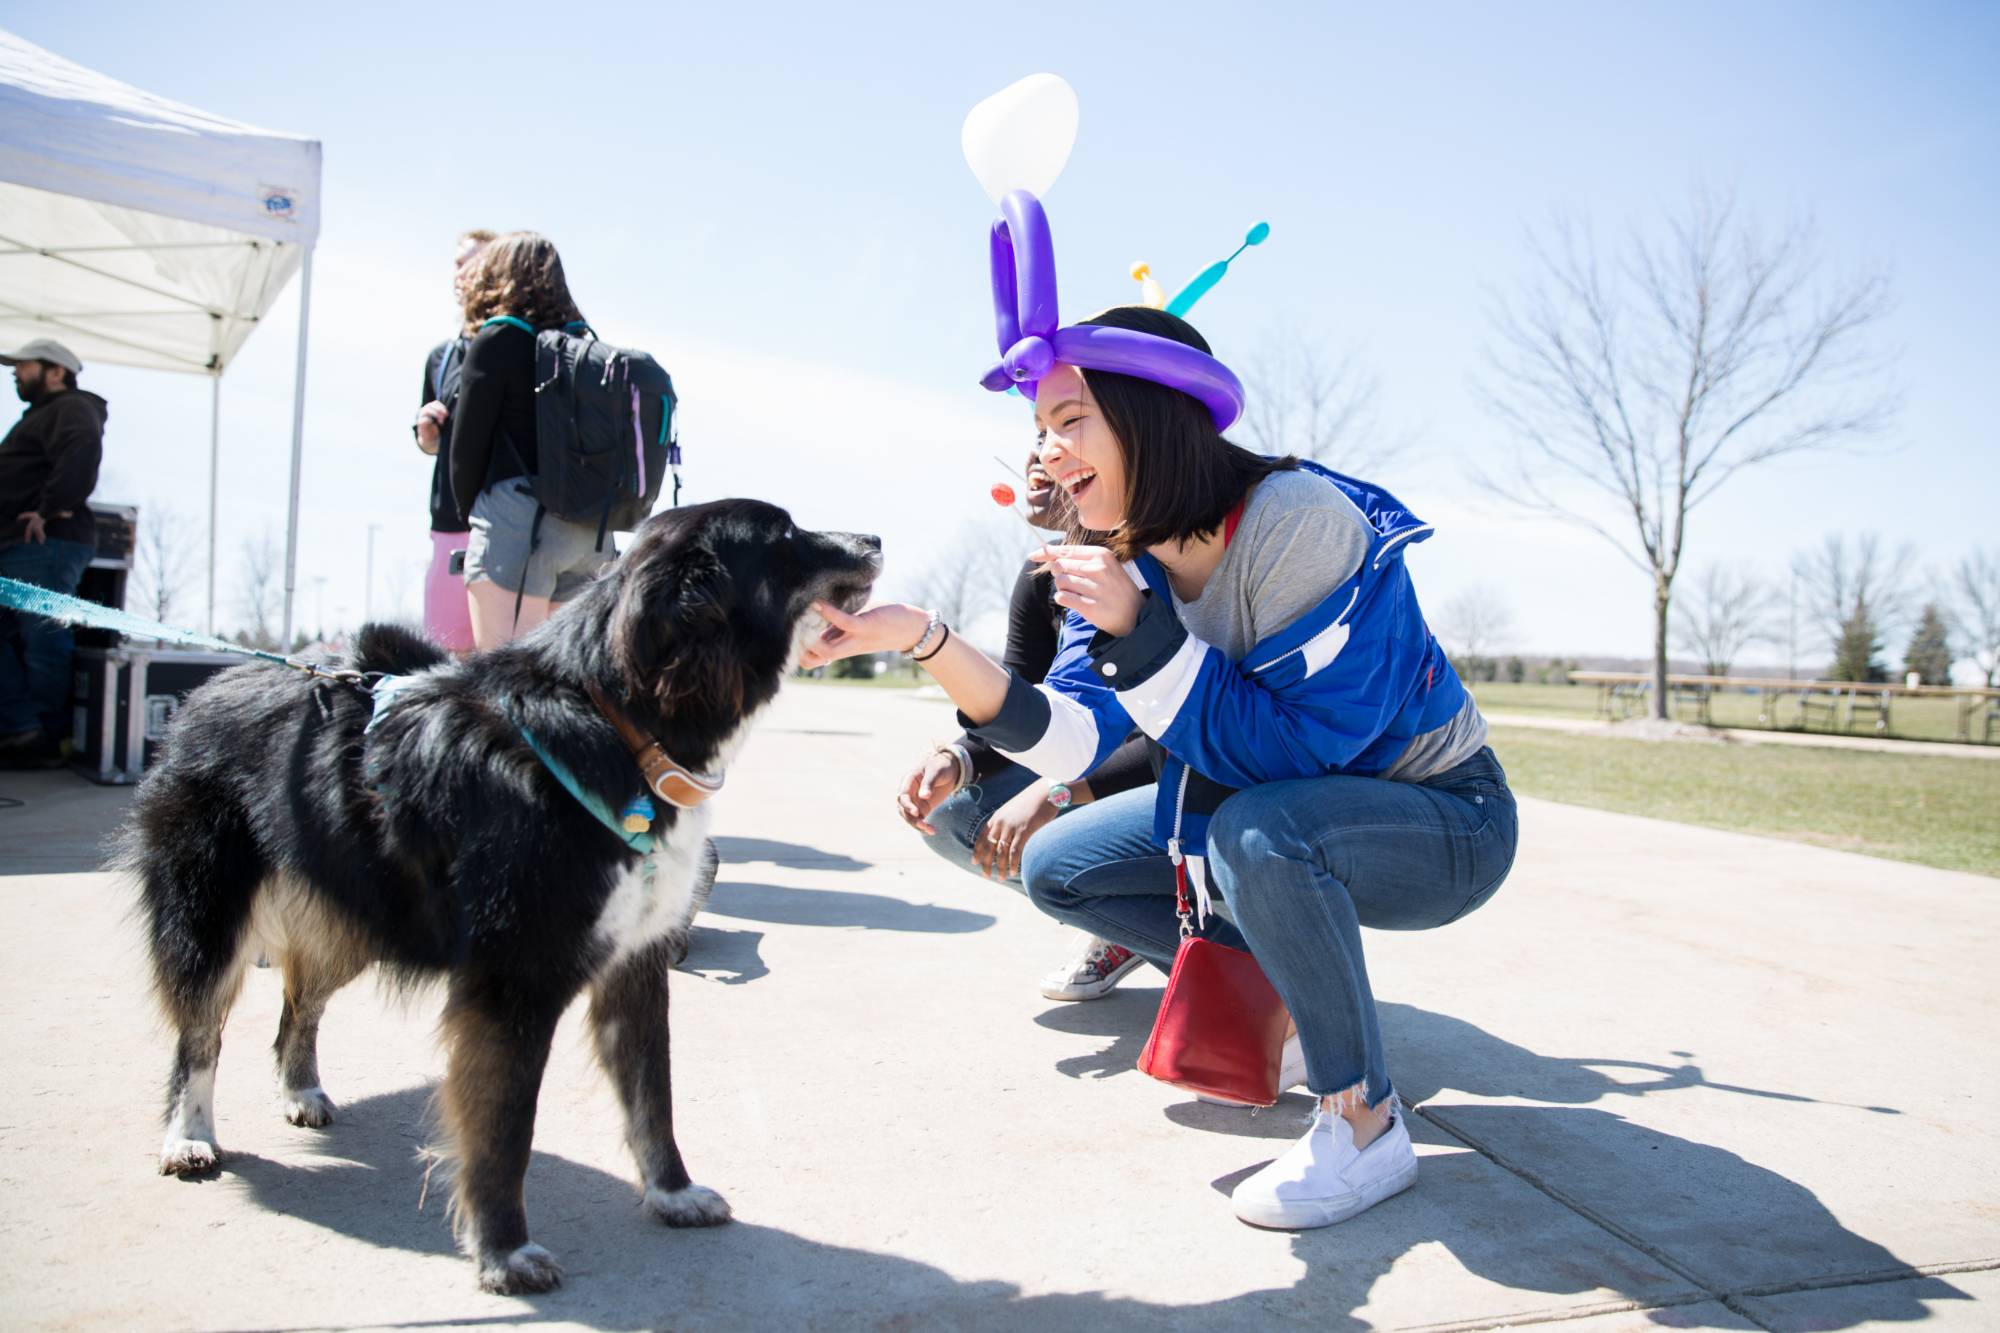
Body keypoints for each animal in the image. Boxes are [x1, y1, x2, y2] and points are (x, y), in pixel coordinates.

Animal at [121, 499, 878, 1293]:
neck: (617, 723)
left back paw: (301, 1091)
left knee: (298, 1005)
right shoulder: (512, 981)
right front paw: (504, 1251)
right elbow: (505, 1124)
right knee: (200, 1032)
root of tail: (208, 690)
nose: (876, 537)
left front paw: (672, 1193)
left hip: (352, 916)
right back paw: (189, 1135)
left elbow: (653, 1097)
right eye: (785, 537)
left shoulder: (636, 964)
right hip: (212, 915)